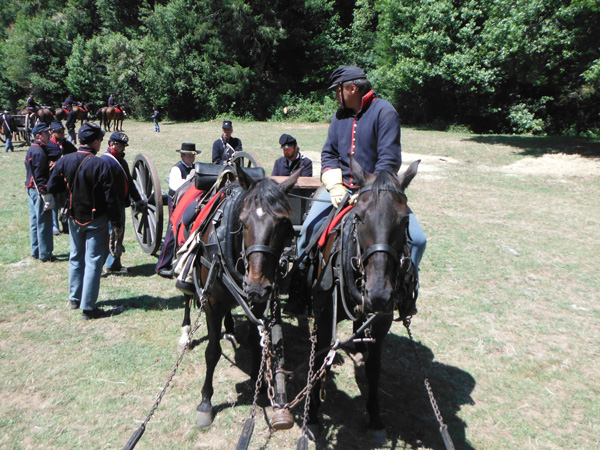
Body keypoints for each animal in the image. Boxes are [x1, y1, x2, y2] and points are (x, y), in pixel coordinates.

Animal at [176, 164, 302, 428]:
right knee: (187, 300)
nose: (257, 286)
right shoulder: (211, 304)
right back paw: (185, 333)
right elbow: (212, 352)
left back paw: (231, 329)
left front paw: (260, 383)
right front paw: (205, 402)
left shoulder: (257, 305)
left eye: (284, 223)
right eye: (243, 222)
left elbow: (256, 344)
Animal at [304, 156, 422, 444]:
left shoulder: (382, 322)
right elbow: (320, 358)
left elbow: (374, 368)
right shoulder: (325, 315)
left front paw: (375, 419)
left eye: (405, 220)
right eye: (358, 217)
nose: (378, 295)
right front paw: (312, 417)